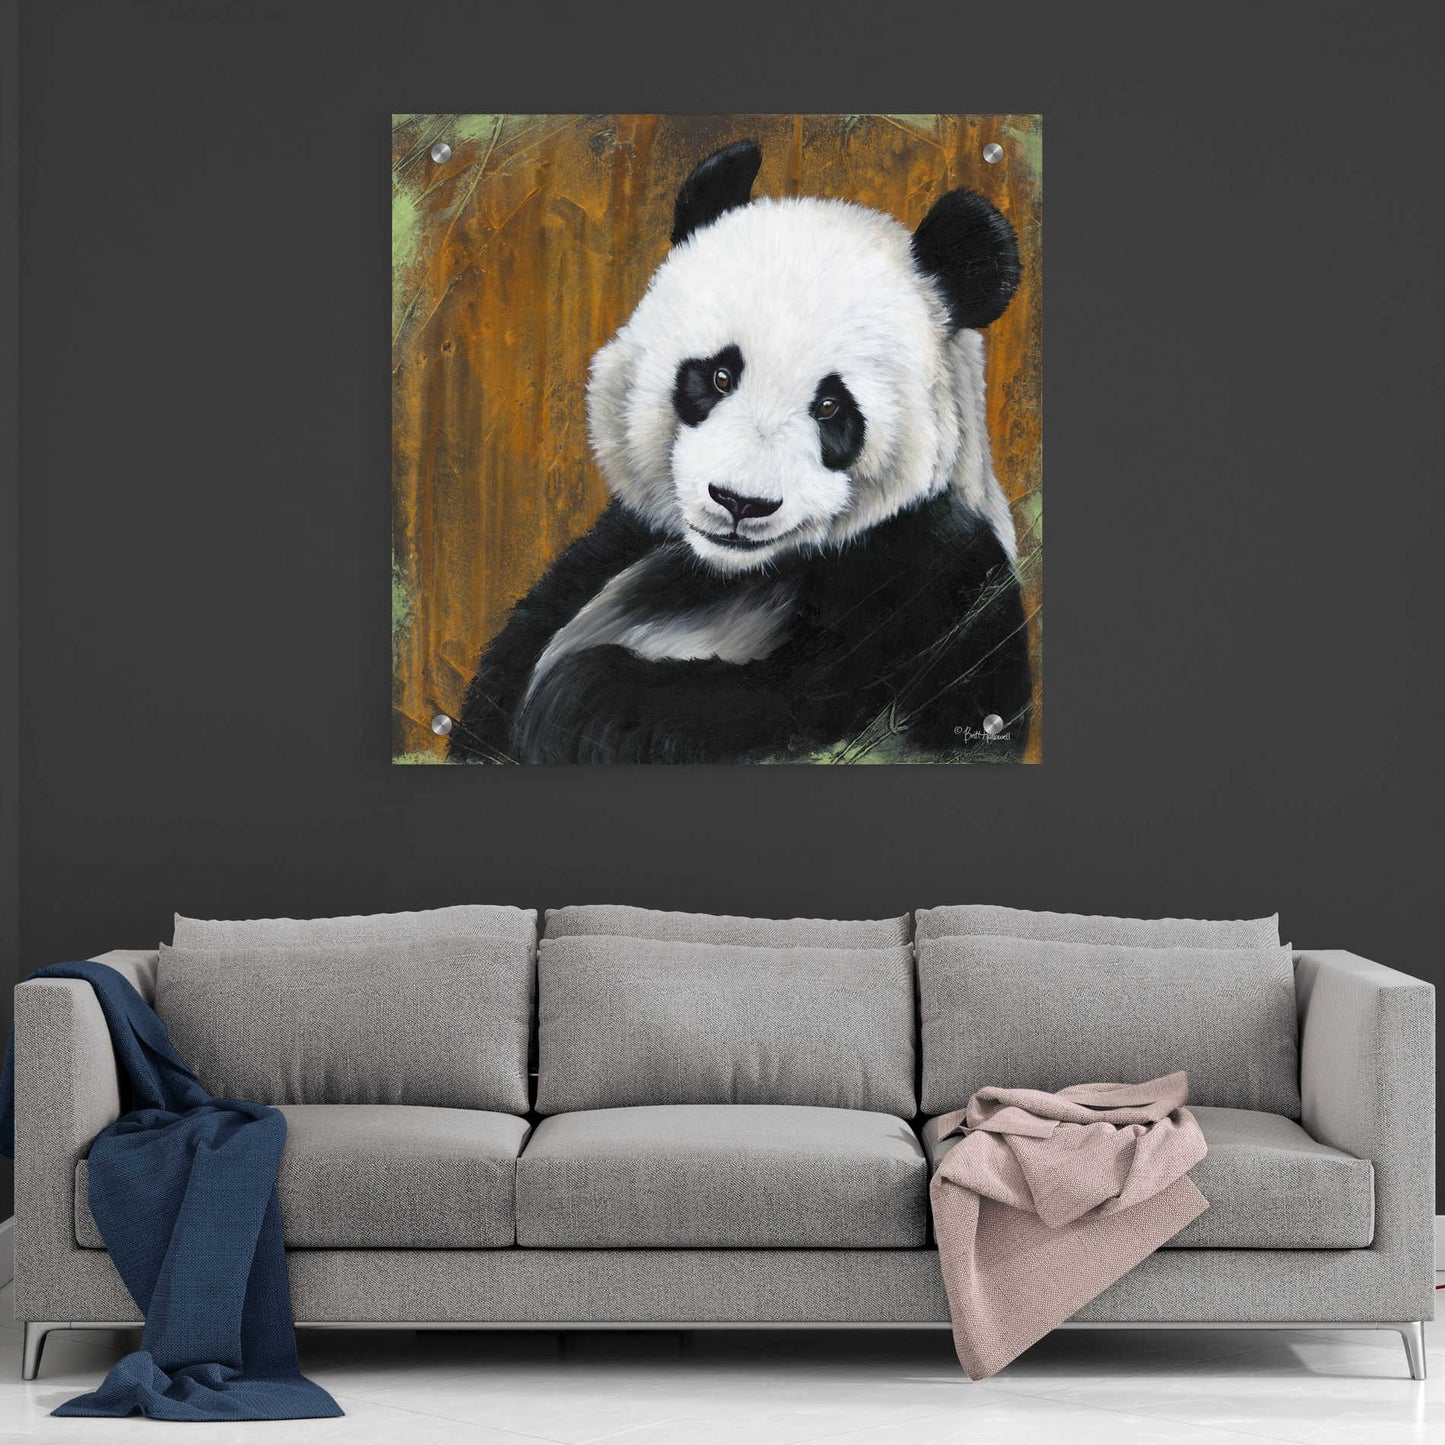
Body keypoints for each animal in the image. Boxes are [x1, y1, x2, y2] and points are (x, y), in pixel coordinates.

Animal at [449, 139, 1032, 765]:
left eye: (831, 407)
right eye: (720, 375)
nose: (739, 502)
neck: (734, 572)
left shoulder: (927, 586)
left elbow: (793, 708)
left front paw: (575, 703)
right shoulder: (626, 542)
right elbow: (530, 634)